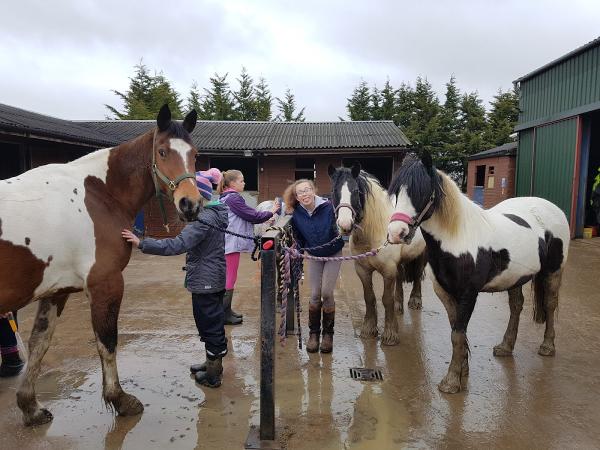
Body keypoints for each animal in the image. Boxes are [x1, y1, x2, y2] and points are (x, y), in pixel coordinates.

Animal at [0, 104, 202, 426]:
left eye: (195, 154)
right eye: (162, 152)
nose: (190, 204)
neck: (101, 195)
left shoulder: (55, 291)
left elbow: (39, 343)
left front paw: (30, 407)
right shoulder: (105, 283)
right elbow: (107, 342)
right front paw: (120, 400)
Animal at [328, 164, 426, 344]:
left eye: (356, 191)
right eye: (333, 191)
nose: (345, 225)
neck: (373, 234)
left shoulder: (388, 270)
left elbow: (386, 299)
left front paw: (390, 334)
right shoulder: (363, 270)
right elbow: (369, 297)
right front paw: (368, 330)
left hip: (421, 255)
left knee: (417, 276)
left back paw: (415, 301)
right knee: (400, 278)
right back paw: (399, 305)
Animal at [386, 153, 568, 392]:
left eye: (422, 192)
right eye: (396, 193)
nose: (395, 233)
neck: (458, 238)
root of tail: (553, 208)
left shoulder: (468, 294)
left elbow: (457, 333)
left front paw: (451, 381)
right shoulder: (445, 292)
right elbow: (457, 331)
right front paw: (463, 372)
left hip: (553, 272)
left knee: (550, 304)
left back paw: (547, 346)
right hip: (515, 277)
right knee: (516, 306)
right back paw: (505, 346)